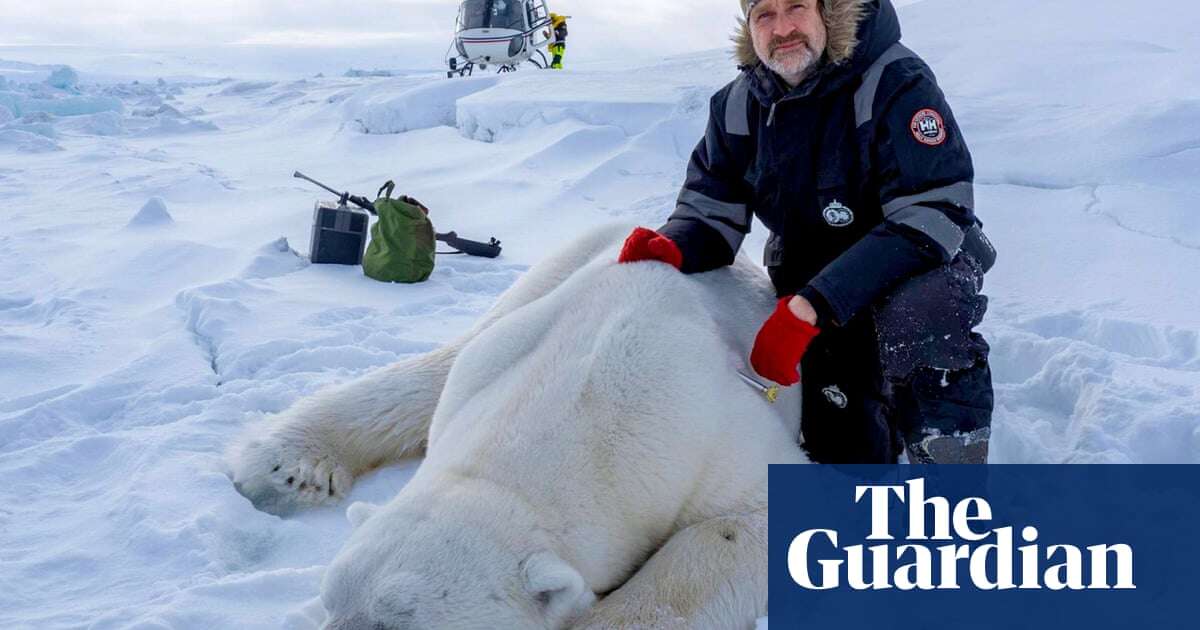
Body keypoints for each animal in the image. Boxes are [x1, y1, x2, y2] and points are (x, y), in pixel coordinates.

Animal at [226, 225, 806, 628]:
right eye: (329, 602)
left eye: (398, 624)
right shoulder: (500, 361)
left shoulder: (709, 437)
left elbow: (739, 525)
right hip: (557, 271)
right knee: (439, 367)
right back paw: (285, 464)